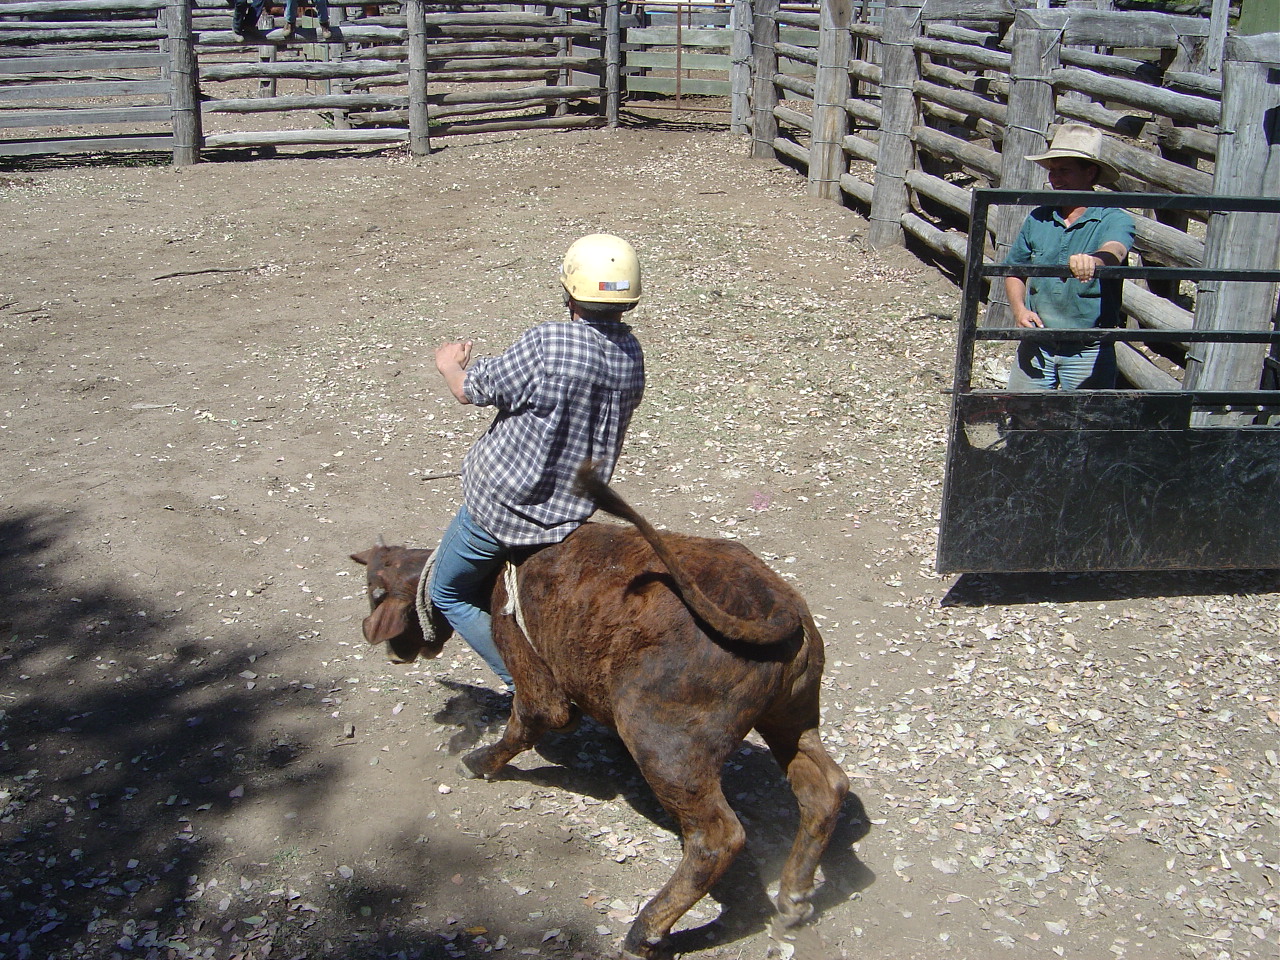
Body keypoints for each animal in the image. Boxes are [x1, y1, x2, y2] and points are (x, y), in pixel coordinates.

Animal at [350, 463, 849, 957]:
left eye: (375, 594)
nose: (383, 643)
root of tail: (777, 606)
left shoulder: (534, 682)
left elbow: (529, 722)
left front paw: (477, 761)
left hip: (665, 745)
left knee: (718, 837)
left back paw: (646, 931)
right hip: (792, 719)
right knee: (824, 788)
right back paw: (794, 897)